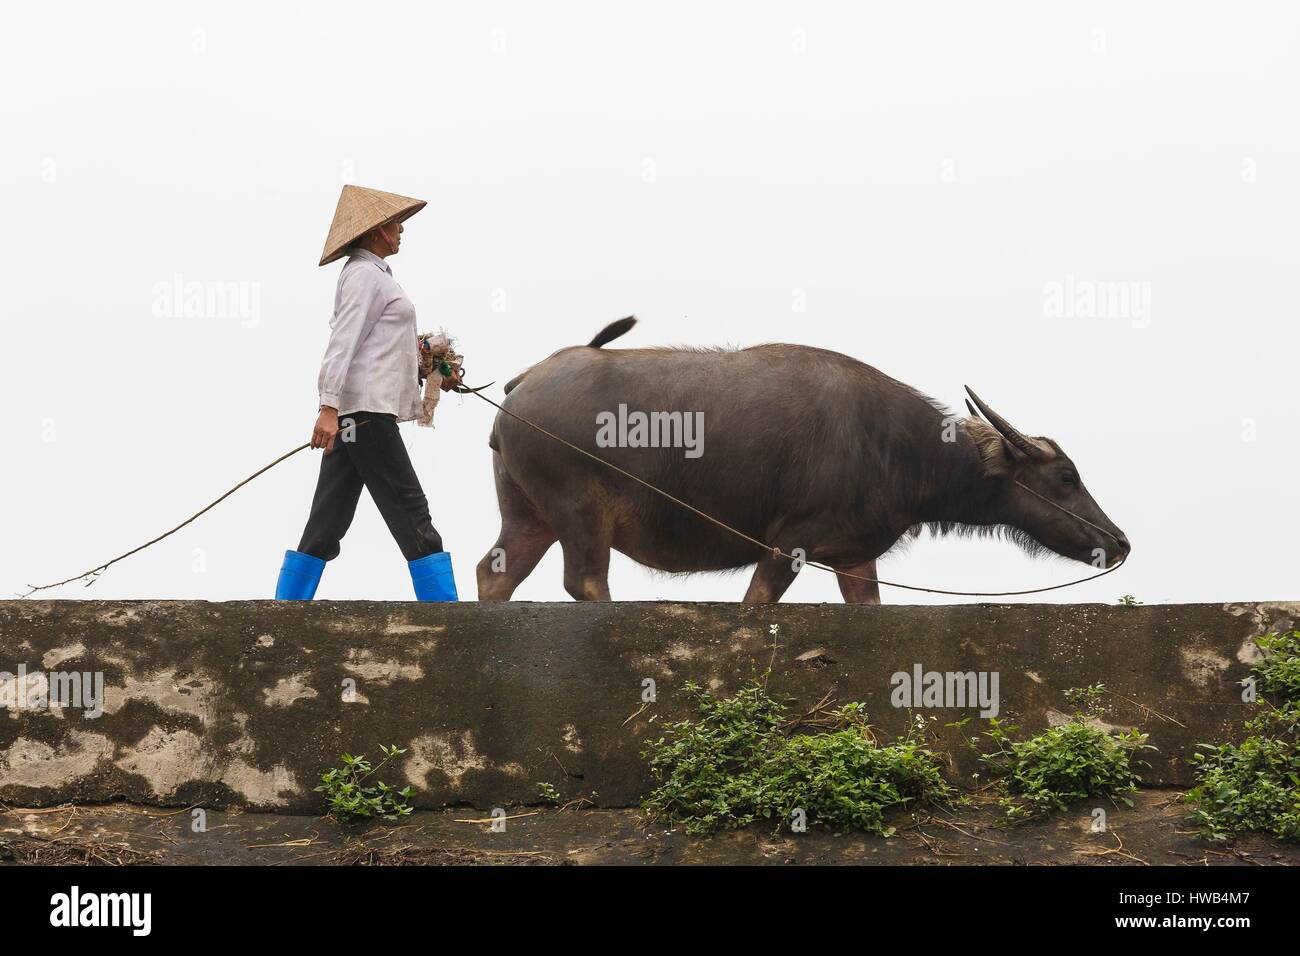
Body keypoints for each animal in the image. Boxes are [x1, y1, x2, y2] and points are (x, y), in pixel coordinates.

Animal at [478, 321, 1128, 606]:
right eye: (1065, 477)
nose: (1118, 542)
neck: (900, 448)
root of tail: (524, 383)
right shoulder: (790, 539)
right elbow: (757, 602)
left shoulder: (854, 553)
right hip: (579, 509)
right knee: (585, 580)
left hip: (529, 515)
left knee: (496, 573)